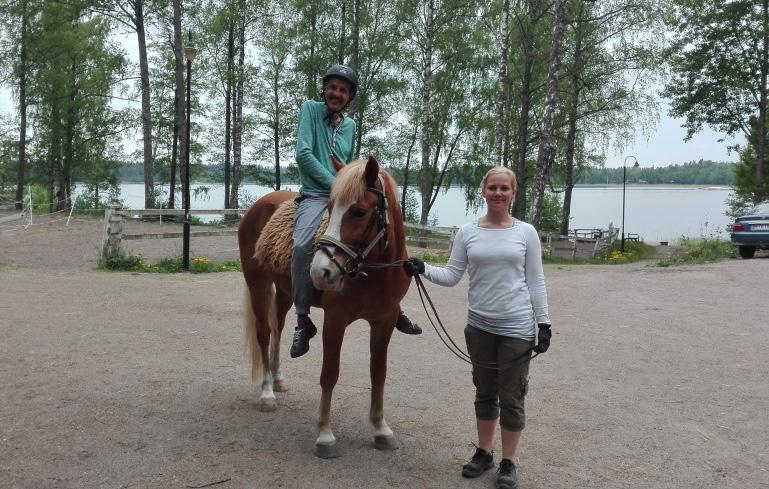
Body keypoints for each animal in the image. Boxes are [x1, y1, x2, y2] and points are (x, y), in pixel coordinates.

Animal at [237, 155, 412, 458]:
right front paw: (325, 435)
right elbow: (329, 374)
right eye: (330, 208)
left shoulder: (385, 320)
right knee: (264, 333)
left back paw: (278, 379)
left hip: (285, 292)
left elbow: (378, 373)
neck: (373, 271)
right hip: (258, 283)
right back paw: (267, 393)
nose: (321, 272)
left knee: (278, 329)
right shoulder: (335, 319)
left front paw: (380, 429)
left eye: (359, 212)